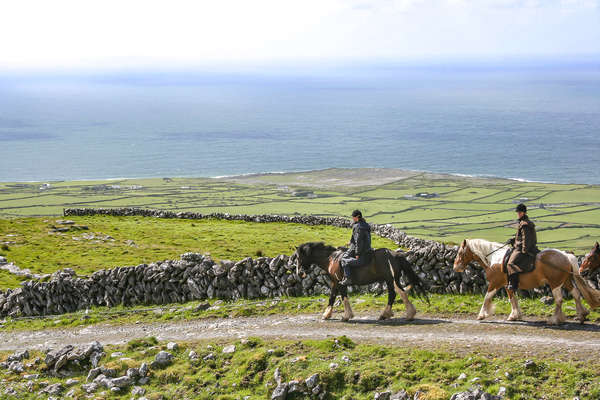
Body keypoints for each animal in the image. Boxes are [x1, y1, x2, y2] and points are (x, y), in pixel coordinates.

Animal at [294, 241, 426, 322]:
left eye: (299, 257)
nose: (299, 273)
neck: (332, 259)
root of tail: (396, 255)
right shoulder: (335, 282)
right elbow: (332, 297)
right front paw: (327, 314)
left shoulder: (340, 282)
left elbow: (343, 297)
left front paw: (346, 316)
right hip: (392, 280)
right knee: (399, 293)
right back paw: (404, 314)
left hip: (391, 280)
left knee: (395, 294)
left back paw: (392, 314)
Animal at [452, 239, 596, 324]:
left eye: (460, 253)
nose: (455, 267)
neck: (494, 258)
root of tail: (565, 255)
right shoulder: (508, 285)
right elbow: (513, 299)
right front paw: (515, 316)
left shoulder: (495, 283)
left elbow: (487, 297)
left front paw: (482, 315)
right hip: (565, 281)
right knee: (576, 294)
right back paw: (582, 315)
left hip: (555, 284)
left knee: (559, 300)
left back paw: (555, 319)